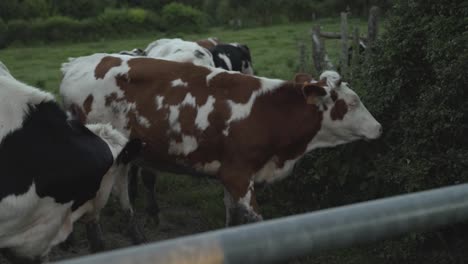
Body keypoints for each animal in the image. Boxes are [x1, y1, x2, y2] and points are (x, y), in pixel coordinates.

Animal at [59, 53, 380, 225]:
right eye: (353, 103)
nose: (378, 127)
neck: (268, 111)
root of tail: (76, 63)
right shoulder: (238, 175)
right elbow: (254, 219)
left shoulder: (230, 174)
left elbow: (232, 217)